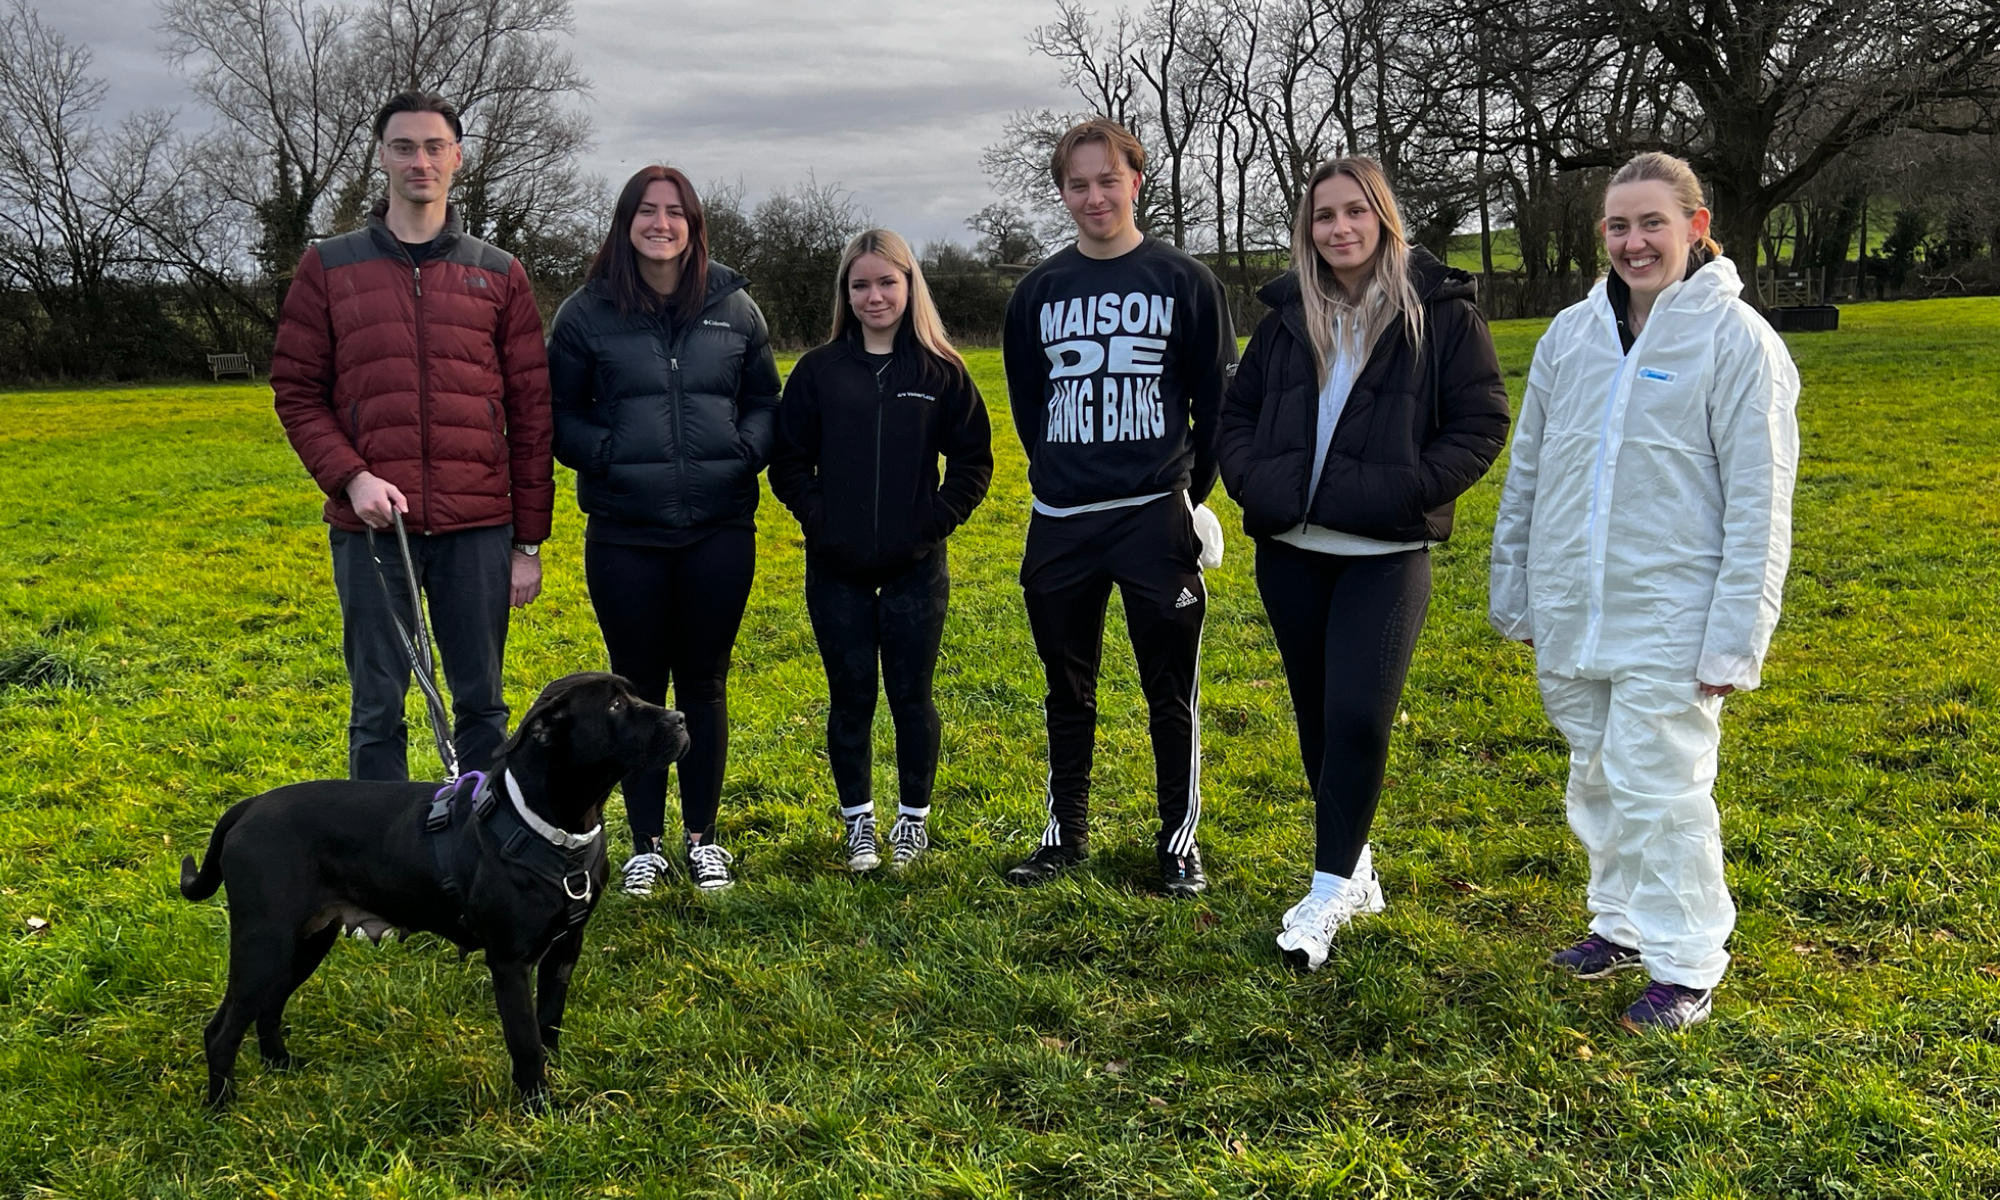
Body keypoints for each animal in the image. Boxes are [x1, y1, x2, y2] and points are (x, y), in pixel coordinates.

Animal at [182, 672, 696, 1112]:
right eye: (614, 705)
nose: (680, 718)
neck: (553, 829)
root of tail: (248, 807)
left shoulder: (565, 949)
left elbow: (548, 1023)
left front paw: (554, 1077)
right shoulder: (510, 964)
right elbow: (525, 1041)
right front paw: (539, 1107)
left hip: (306, 941)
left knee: (268, 1008)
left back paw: (282, 1066)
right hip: (265, 943)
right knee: (221, 1030)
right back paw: (222, 1107)